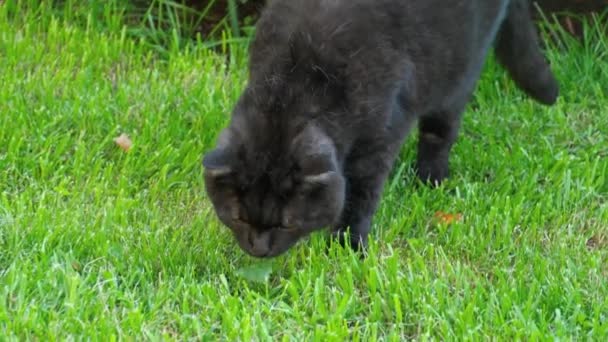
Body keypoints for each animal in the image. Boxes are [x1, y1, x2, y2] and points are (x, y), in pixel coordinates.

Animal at [202, 0, 560, 256]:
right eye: (237, 216)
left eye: (287, 224)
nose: (258, 249)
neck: (297, 80)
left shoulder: (376, 143)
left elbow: (361, 197)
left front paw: (347, 247)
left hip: (459, 72)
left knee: (440, 131)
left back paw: (430, 178)